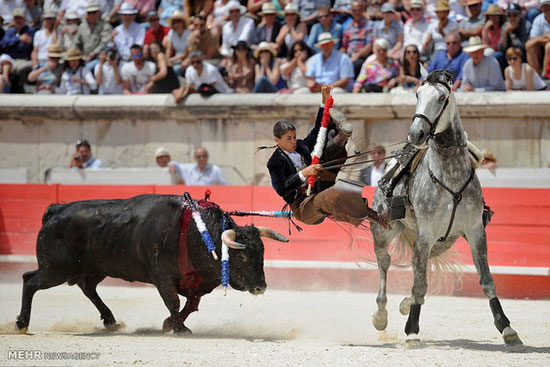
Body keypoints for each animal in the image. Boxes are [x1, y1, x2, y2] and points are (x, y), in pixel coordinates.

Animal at [15, 194, 288, 334]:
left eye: (262, 254)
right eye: (242, 257)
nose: (261, 287)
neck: (195, 233)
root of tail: (56, 209)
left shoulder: (195, 281)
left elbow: (191, 305)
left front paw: (169, 324)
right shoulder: (163, 277)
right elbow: (173, 301)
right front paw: (180, 329)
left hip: (94, 268)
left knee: (87, 287)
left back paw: (111, 321)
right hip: (56, 269)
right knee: (30, 280)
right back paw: (21, 324)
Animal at [370, 70, 520, 346]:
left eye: (441, 97)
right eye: (417, 94)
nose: (417, 133)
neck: (449, 175)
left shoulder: (475, 232)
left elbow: (487, 280)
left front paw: (506, 328)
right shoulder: (425, 234)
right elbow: (419, 283)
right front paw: (412, 331)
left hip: (442, 241)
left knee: (420, 266)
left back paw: (405, 304)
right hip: (383, 231)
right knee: (385, 264)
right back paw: (381, 316)